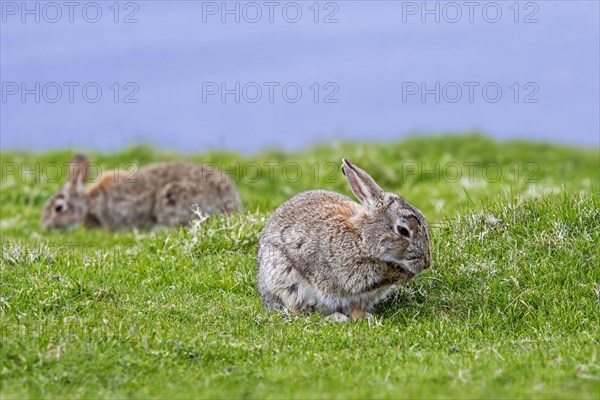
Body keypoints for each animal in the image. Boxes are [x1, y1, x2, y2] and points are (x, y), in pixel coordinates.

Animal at [255, 159, 428, 322]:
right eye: (403, 230)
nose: (426, 264)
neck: (362, 239)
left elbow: (357, 308)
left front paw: (365, 317)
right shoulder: (351, 276)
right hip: (287, 284)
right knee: (301, 312)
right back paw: (335, 318)